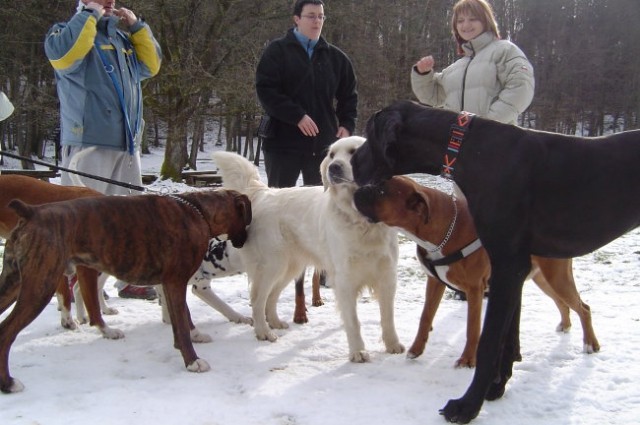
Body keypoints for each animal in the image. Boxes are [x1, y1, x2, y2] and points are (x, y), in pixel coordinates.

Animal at [0, 187, 251, 392]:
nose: (246, 239)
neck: (198, 211)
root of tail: (31, 212)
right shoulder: (175, 282)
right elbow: (180, 321)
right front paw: (192, 360)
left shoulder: (170, 284)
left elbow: (182, 317)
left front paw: (194, 335)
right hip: (39, 286)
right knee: (6, 331)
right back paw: (8, 383)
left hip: (14, 284)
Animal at [356, 176, 600, 368]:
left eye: (381, 191)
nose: (358, 190)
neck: (443, 229)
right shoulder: (435, 282)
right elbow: (425, 317)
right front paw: (416, 349)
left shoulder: (474, 289)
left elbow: (472, 328)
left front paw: (467, 360)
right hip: (544, 278)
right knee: (563, 303)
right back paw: (565, 325)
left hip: (557, 277)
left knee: (583, 307)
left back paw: (590, 344)